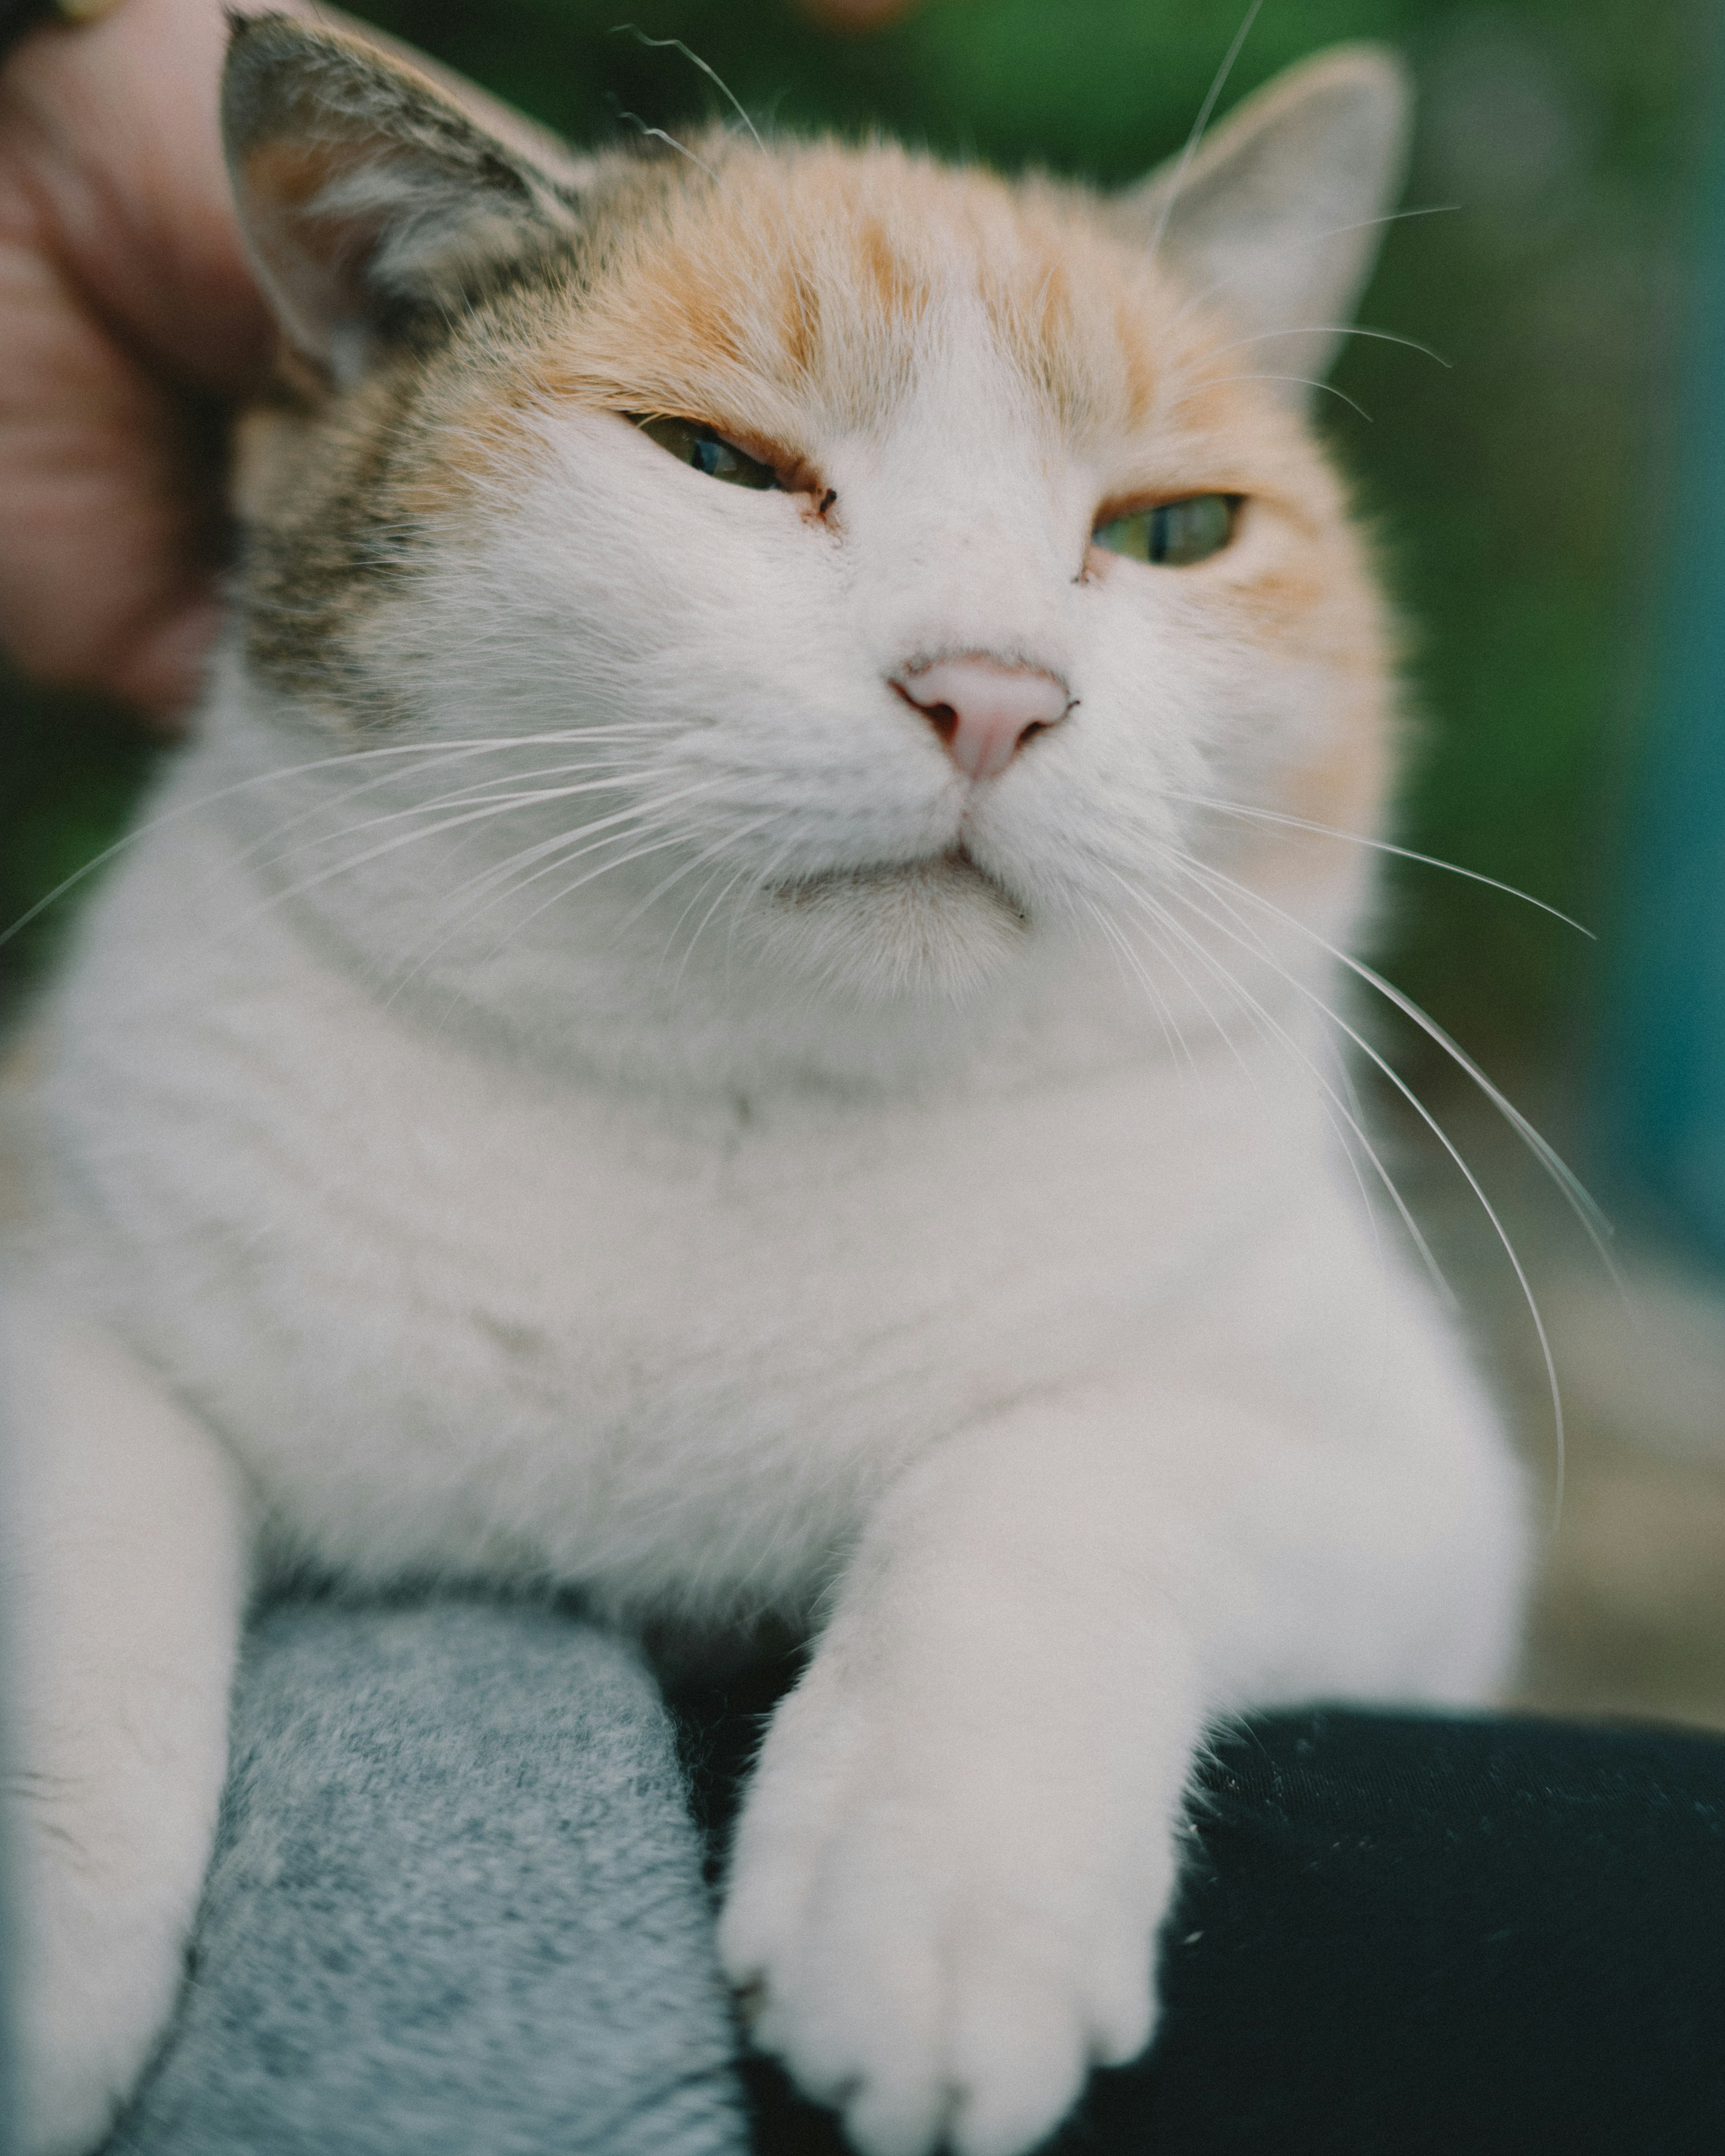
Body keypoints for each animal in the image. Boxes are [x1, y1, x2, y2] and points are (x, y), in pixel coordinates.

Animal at [0, 17, 1526, 2156]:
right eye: (723, 462)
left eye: (1171, 530)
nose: (994, 692)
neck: (737, 1115)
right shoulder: (48, 1270)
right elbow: (80, 1560)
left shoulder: (1410, 1482)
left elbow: (1054, 1467)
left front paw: (934, 1900)